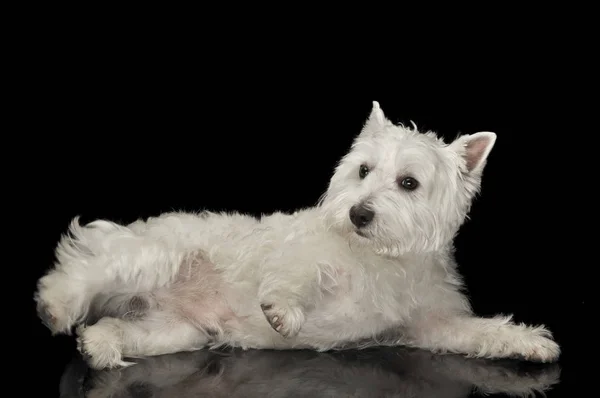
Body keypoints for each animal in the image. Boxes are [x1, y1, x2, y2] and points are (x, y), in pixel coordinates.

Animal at [34, 100, 556, 370]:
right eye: (363, 170)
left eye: (409, 183)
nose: (358, 214)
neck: (379, 256)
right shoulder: (301, 253)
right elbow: (296, 276)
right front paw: (282, 313)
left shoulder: (430, 323)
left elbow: (478, 331)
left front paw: (530, 343)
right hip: (155, 257)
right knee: (82, 268)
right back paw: (56, 306)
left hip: (174, 330)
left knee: (116, 325)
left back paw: (99, 346)